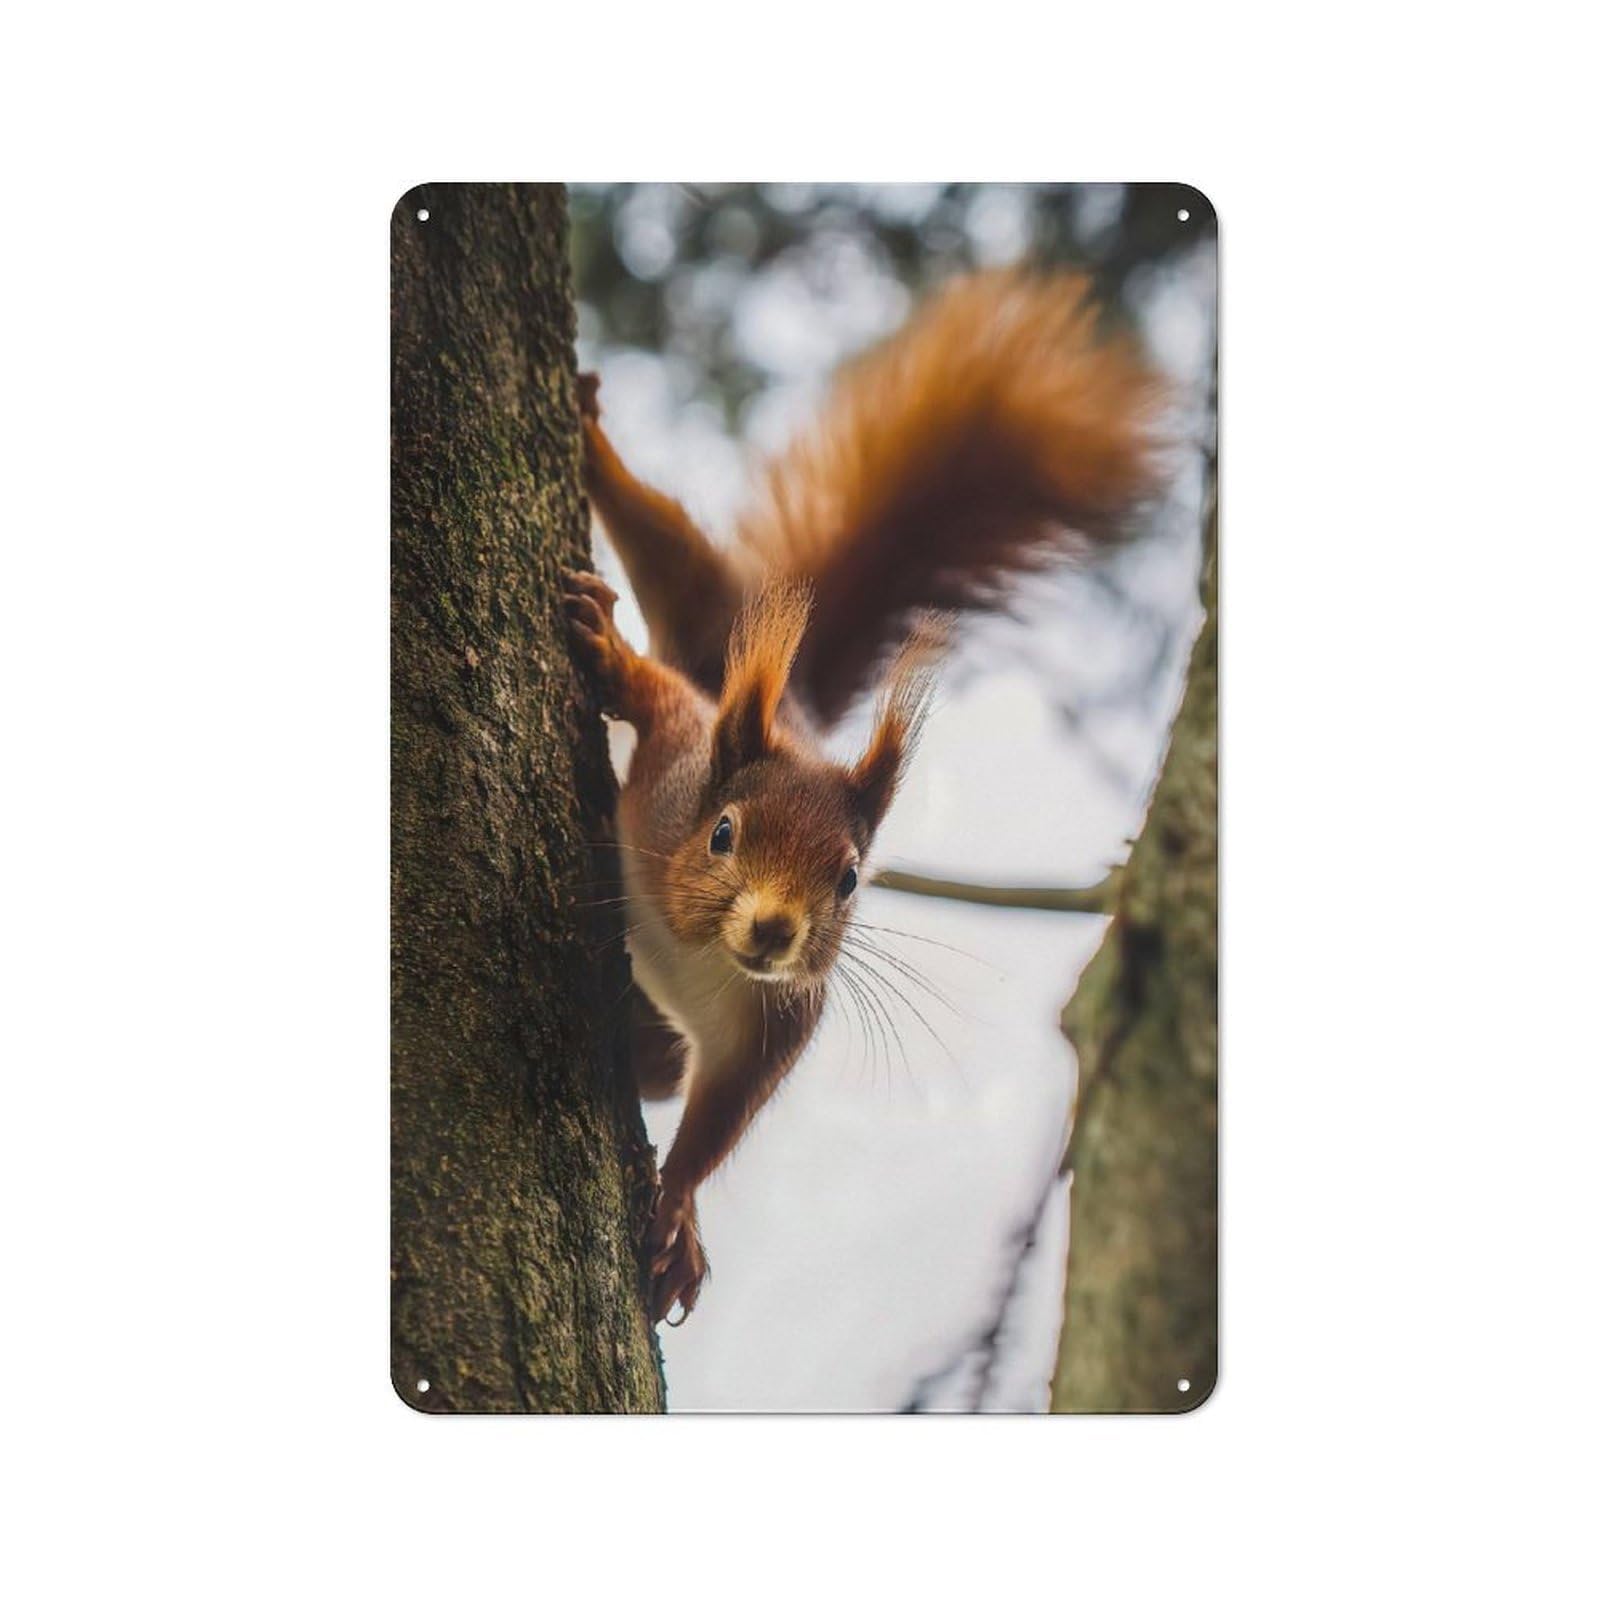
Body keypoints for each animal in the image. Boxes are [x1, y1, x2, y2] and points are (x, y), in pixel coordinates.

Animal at [562, 268, 1164, 1324]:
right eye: (722, 833)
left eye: (848, 882)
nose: (774, 930)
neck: (697, 952)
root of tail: (788, 701)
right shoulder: (676, 765)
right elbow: (658, 700)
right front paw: (607, 653)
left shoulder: (774, 1026)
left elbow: (722, 1121)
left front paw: (677, 1215)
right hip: (711, 610)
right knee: (666, 547)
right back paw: (595, 442)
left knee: (669, 1070)